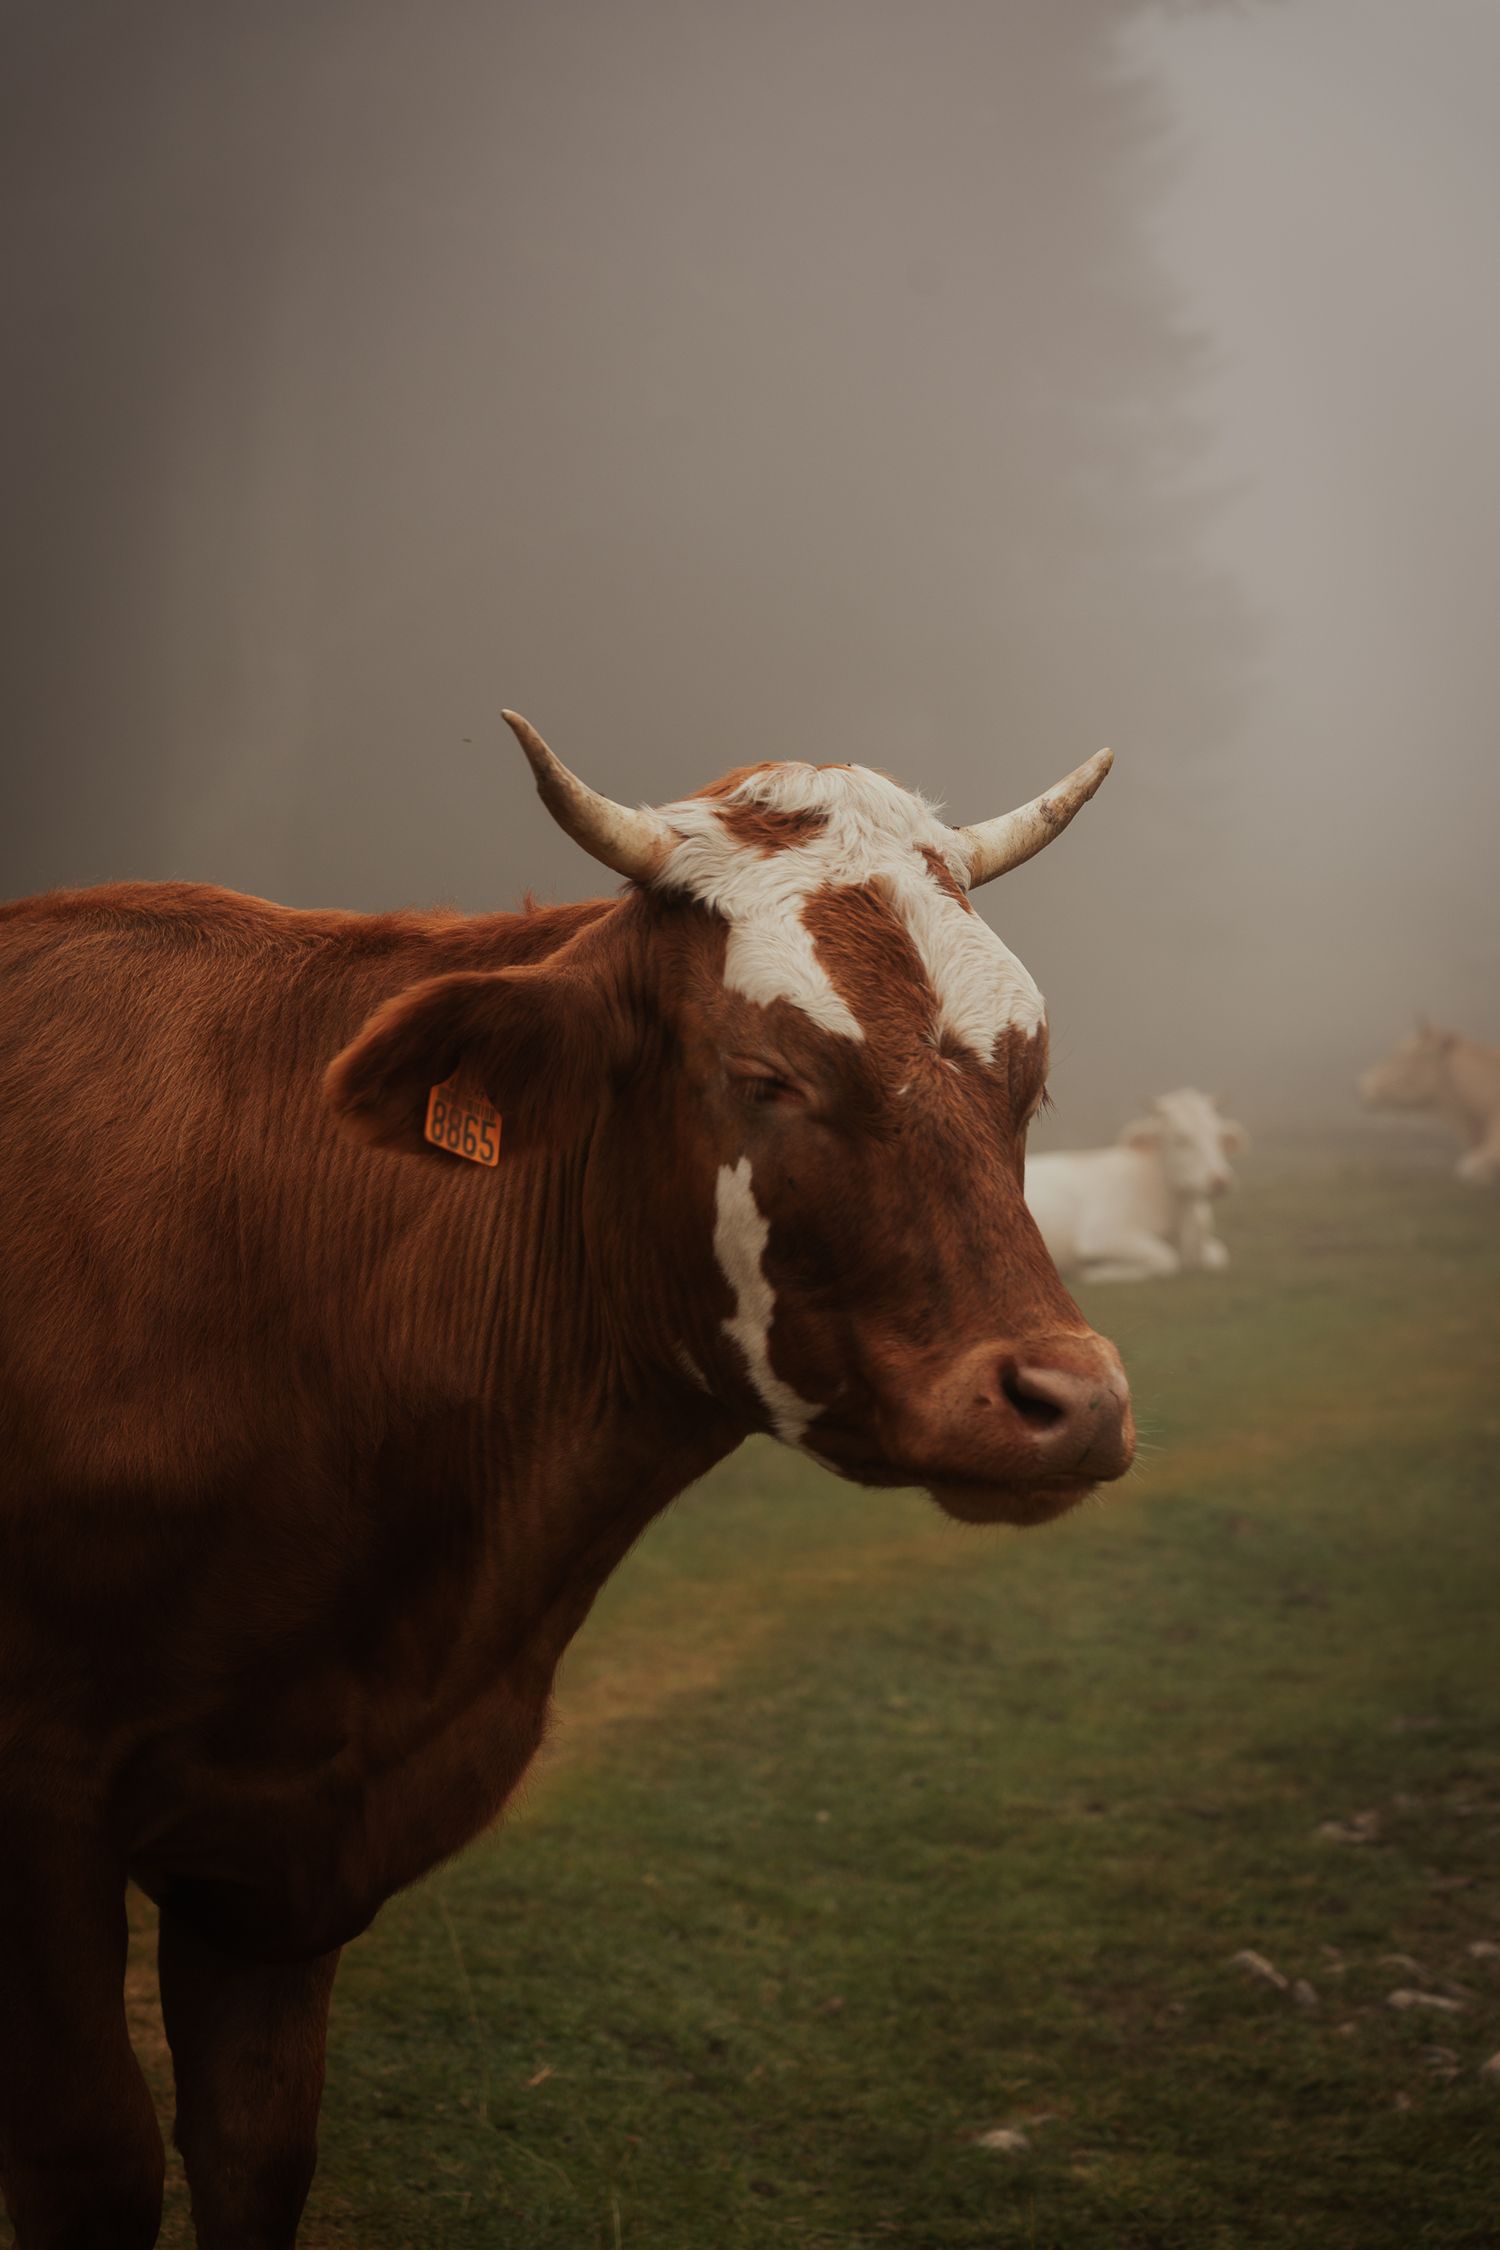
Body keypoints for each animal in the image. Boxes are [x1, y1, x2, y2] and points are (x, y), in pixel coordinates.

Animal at [0, 714, 1133, 2250]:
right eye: (767, 1074)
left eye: (1027, 1079)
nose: (1069, 1404)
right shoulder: (42, 1807)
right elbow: (93, 2163)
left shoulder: (286, 1861)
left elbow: (254, 2151)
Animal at [1025, 1088, 1247, 1283]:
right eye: (1179, 1138)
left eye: (1218, 1137)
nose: (1219, 1179)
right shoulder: (1103, 1235)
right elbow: (1165, 1258)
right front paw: (1095, 1272)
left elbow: (1218, 1255)